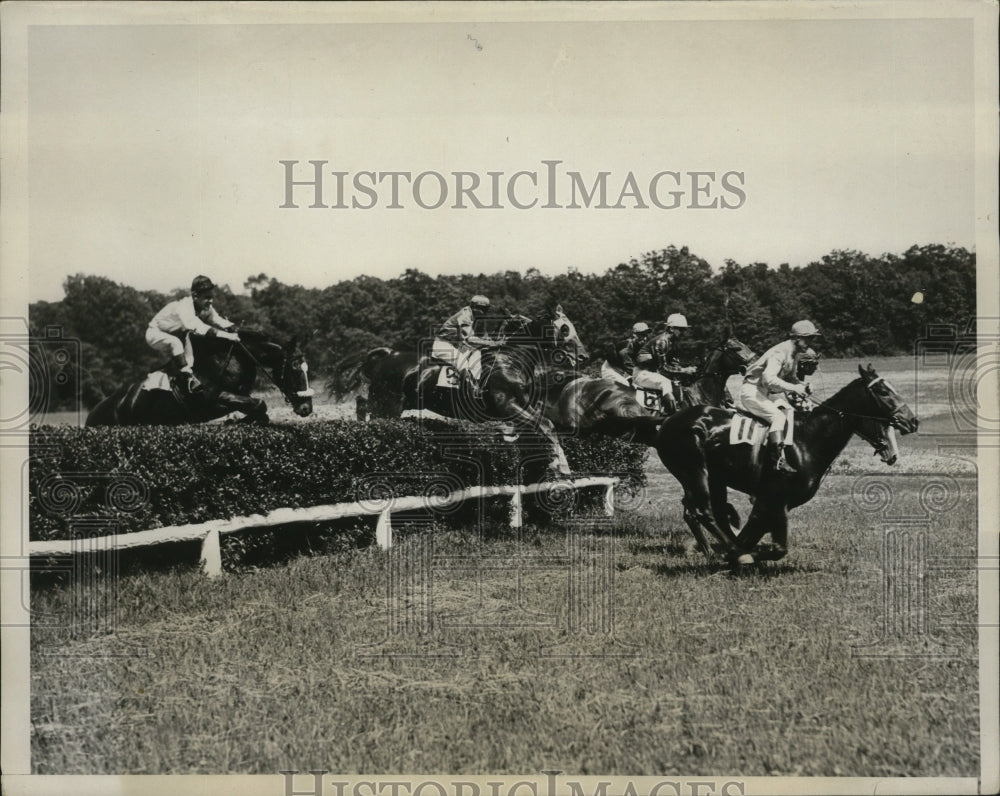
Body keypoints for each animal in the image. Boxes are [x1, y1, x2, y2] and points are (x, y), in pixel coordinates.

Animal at [86, 328, 314, 426]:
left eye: (307, 368)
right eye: (294, 367)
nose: (306, 408)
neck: (235, 358)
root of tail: (91, 415)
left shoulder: (239, 396)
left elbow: (260, 410)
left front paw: (241, 421)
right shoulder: (214, 400)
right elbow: (260, 404)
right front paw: (234, 423)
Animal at [652, 366, 916, 564]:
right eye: (883, 391)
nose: (912, 421)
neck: (807, 440)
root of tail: (667, 421)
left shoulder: (767, 503)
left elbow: (752, 532)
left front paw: (739, 552)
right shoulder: (775, 499)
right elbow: (778, 548)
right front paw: (746, 554)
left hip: (715, 478)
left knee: (714, 514)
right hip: (695, 471)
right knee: (703, 512)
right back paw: (733, 552)